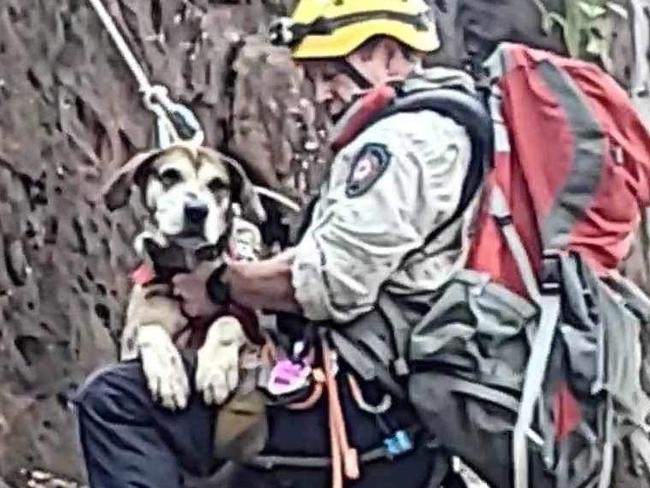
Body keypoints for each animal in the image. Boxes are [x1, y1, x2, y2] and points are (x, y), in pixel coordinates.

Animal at [100, 142, 266, 412]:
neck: (188, 264)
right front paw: (169, 377)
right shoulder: (134, 339)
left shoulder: (257, 335)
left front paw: (215, 371)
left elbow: (227, 321)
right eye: (170, 176)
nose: (197, 210)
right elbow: (150, 330)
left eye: (217, 184)